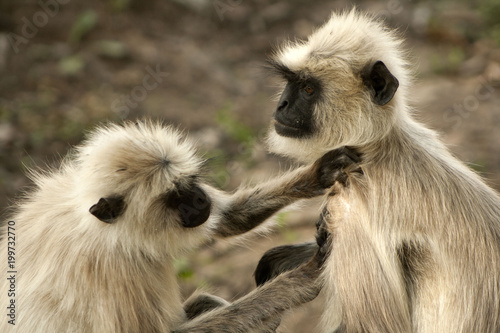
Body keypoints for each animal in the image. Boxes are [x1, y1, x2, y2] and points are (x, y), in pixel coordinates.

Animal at [0, 120, 360, 332]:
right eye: (175, 197)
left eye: (191, 183)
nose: (201, 200)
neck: (99, 228)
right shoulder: (111, 273)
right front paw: (303, 277)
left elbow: (225, 219)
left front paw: (320, 172)